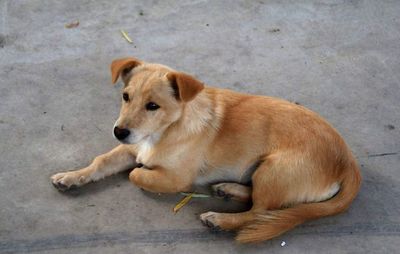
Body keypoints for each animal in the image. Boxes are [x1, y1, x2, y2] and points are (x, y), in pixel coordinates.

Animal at [50, 56, 362, 243]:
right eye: (125, 97)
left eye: (153, 106)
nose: (119, 132)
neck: (165, 131)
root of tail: (348, 162)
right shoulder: (132, 147)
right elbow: (100, 162)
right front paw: (71, 176)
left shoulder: (174, 178)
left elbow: (134, 175)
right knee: (258, 202)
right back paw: (229, 189)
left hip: (274, 169)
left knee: (260, 212)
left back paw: (220, 219)